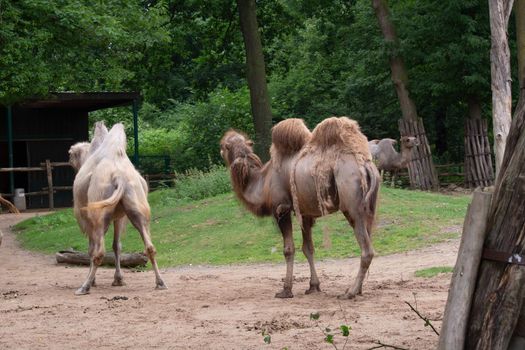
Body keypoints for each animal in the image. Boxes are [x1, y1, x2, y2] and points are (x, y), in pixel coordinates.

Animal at [68, 121, 165, 294]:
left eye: (70, 155)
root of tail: (119, 176)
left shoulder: (86, 220)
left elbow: (91, 248)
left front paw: (94, 281)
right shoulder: (120, 217)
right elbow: (117, 246)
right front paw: (118, 279)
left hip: (98, 213)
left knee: (99, 251)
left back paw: (85, 287)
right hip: (137, 208)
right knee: (150, 246)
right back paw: (160, 282)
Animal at [219, 117, 378, 298]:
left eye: (223, 144)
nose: (220, 151)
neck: (262, 183)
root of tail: (366, 165)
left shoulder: (281, 208)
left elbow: (289, 249)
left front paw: (286, 290)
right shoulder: (305, 213)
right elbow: (308, 248)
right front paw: (313, 286)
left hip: (351, 203)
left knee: (367, 250)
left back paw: (350, 292)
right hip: (369, 207)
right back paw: (357, 290)